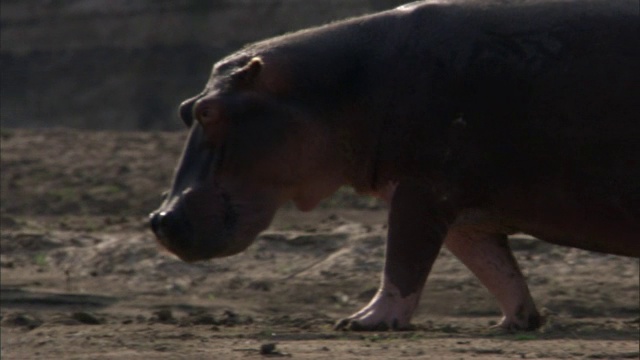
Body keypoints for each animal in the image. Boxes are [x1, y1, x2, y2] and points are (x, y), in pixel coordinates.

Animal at [151, 0, 640, 332]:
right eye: (185, 109)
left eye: (209, 111)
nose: (159, 218)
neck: (333, 86)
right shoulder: (461, 212)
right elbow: (495, 267)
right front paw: (514, 322)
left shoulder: (418, 189)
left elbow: (402, 258)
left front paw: (359, 321)